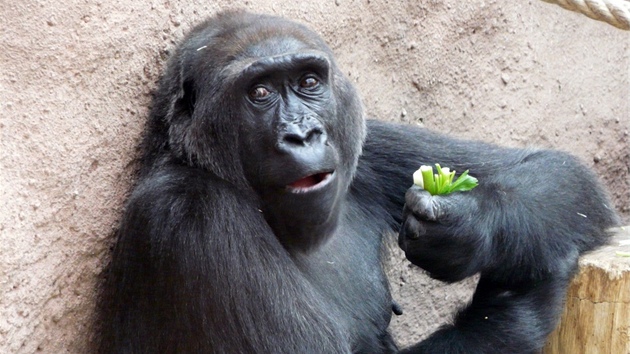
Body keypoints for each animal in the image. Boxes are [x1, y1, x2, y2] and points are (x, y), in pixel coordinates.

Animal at [95, 9, 624, 352]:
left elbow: (559, 173)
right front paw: (513, 311)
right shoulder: (190, 214)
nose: (303, 134)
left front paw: (469, 231)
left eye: (309, 81)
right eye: (259, 92)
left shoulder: (363, 142)